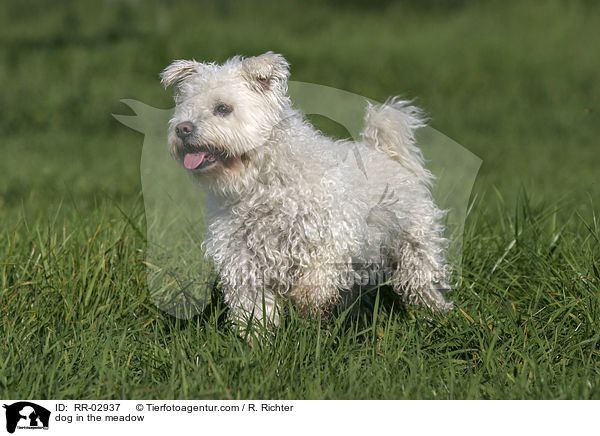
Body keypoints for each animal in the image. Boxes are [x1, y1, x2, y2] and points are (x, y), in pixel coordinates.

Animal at [162, 53, 452, 334]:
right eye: (186, 106)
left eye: (223, 108)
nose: (182, 128)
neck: (260, 182)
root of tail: (385, 152)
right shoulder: (243, 260)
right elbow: (254, 311)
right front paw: (254, 342)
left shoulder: (332, 235)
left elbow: (317, 279)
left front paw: (306, 301)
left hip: (414, 245)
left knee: (422, 284)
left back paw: (436, 316)